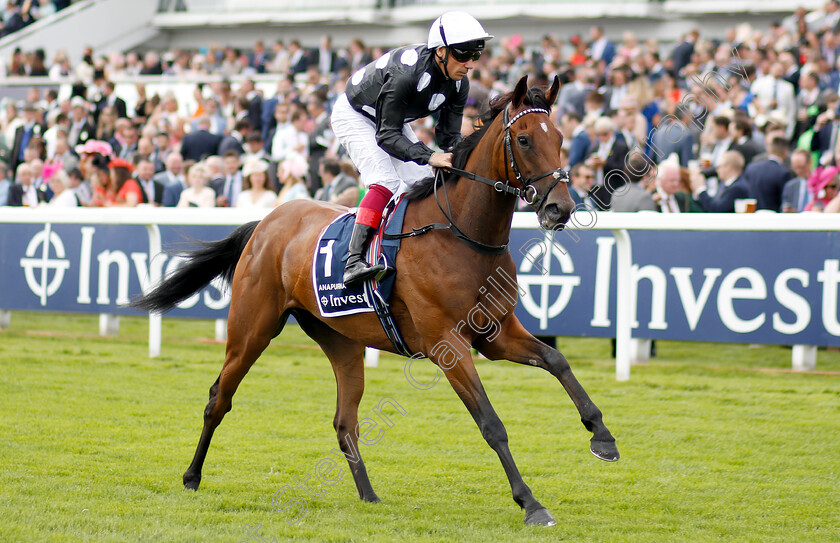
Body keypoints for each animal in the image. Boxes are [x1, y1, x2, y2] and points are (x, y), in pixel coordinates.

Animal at [131, 76, 616, 528]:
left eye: (560, 137)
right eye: (525, 139)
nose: (560, 209)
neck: (462, 234)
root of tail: (266, 222)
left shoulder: (495, 335)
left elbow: (556, 360)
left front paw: (602, 436)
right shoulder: (448, 345)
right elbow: (491, 424)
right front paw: (531, 504)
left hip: (341, 340)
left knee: (345, 422)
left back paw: (368, 494)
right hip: (252, 328)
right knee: (219, 399)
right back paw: (192, 476)